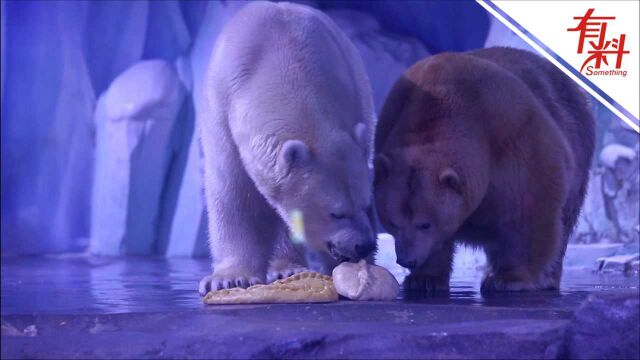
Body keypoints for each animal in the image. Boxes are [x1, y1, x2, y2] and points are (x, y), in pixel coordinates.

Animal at [199, 1, 376, 294]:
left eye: (365, 204)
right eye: (336, 213)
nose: (364, 244)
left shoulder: (352, 99)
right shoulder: (221, 110)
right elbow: (234, 192)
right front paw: (228, 278)